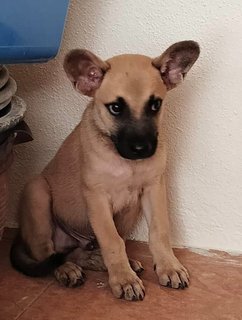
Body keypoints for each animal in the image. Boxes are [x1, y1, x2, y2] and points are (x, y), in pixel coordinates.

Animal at [10, 40, 199, 300]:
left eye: (155, 105)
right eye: (116, 108)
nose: (142, 149)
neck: (126, 163)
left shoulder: (153, 188)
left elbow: (158, 231)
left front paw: (168, 267)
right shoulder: (97, 198)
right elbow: (112, 241)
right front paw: (124, 279)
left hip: (130, 210)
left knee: (79, 252)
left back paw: (100, 260)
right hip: (37, 192)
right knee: (47, 254)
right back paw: (67, 269)